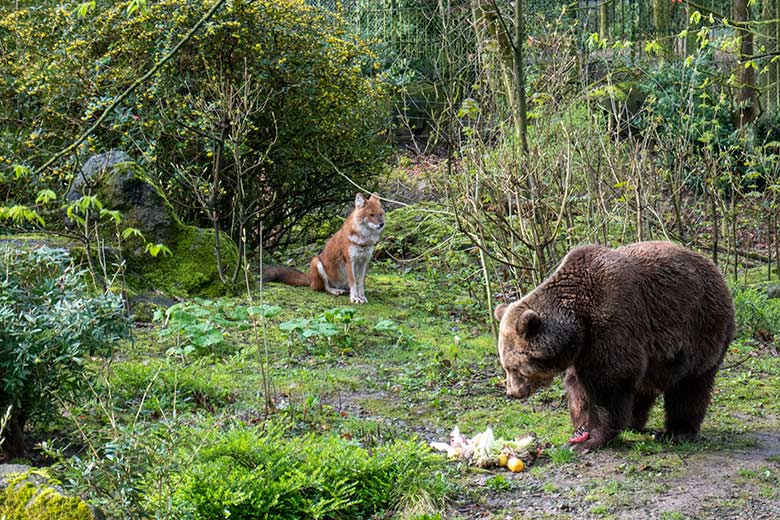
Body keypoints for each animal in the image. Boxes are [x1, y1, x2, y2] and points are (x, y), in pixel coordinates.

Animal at [496, 242, 736, 452]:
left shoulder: (611, 323)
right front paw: (580, 429)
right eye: (505, 367)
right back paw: (634, 422)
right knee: (644, 387)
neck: (578, 321)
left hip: (701, 330)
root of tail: (717, 271)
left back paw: (677, 432)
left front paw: (591, 439)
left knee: (689, 387)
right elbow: (578, 387)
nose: (512, 392)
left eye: (515, 367)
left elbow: (608, 381)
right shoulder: (583, 349)